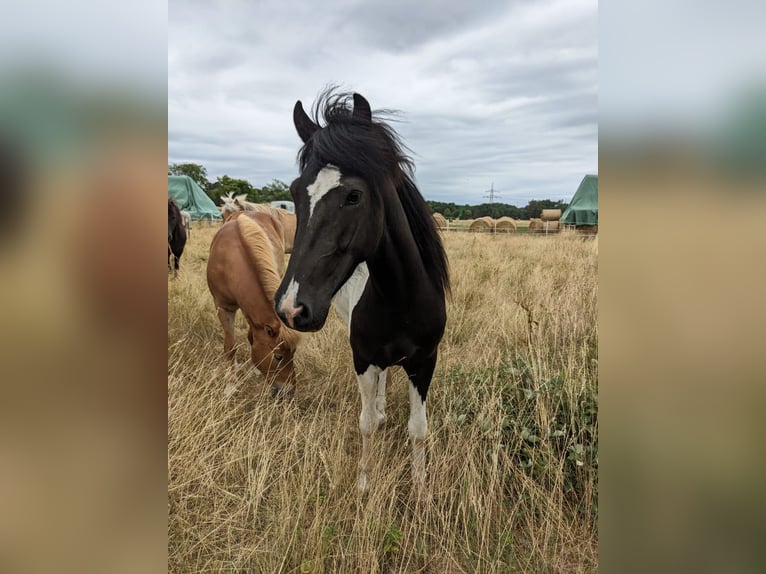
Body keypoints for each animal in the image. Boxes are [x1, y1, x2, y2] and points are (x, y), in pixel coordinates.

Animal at [207, 212, 304, 396]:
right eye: (278, 356)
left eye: (294, 352)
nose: (288, 392)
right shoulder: (223, 308)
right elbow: (230, 346)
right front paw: (231, 385)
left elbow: (253, 338)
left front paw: (254, 370)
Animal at [276, 92, 450, 492]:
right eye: (295, 192)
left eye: (354, 195)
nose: (292, 309)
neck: (402, 301)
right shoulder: (361, 357)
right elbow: (366, 423)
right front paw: (364, 483)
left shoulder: (425, 362)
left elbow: (419, 429)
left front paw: (421, 489)